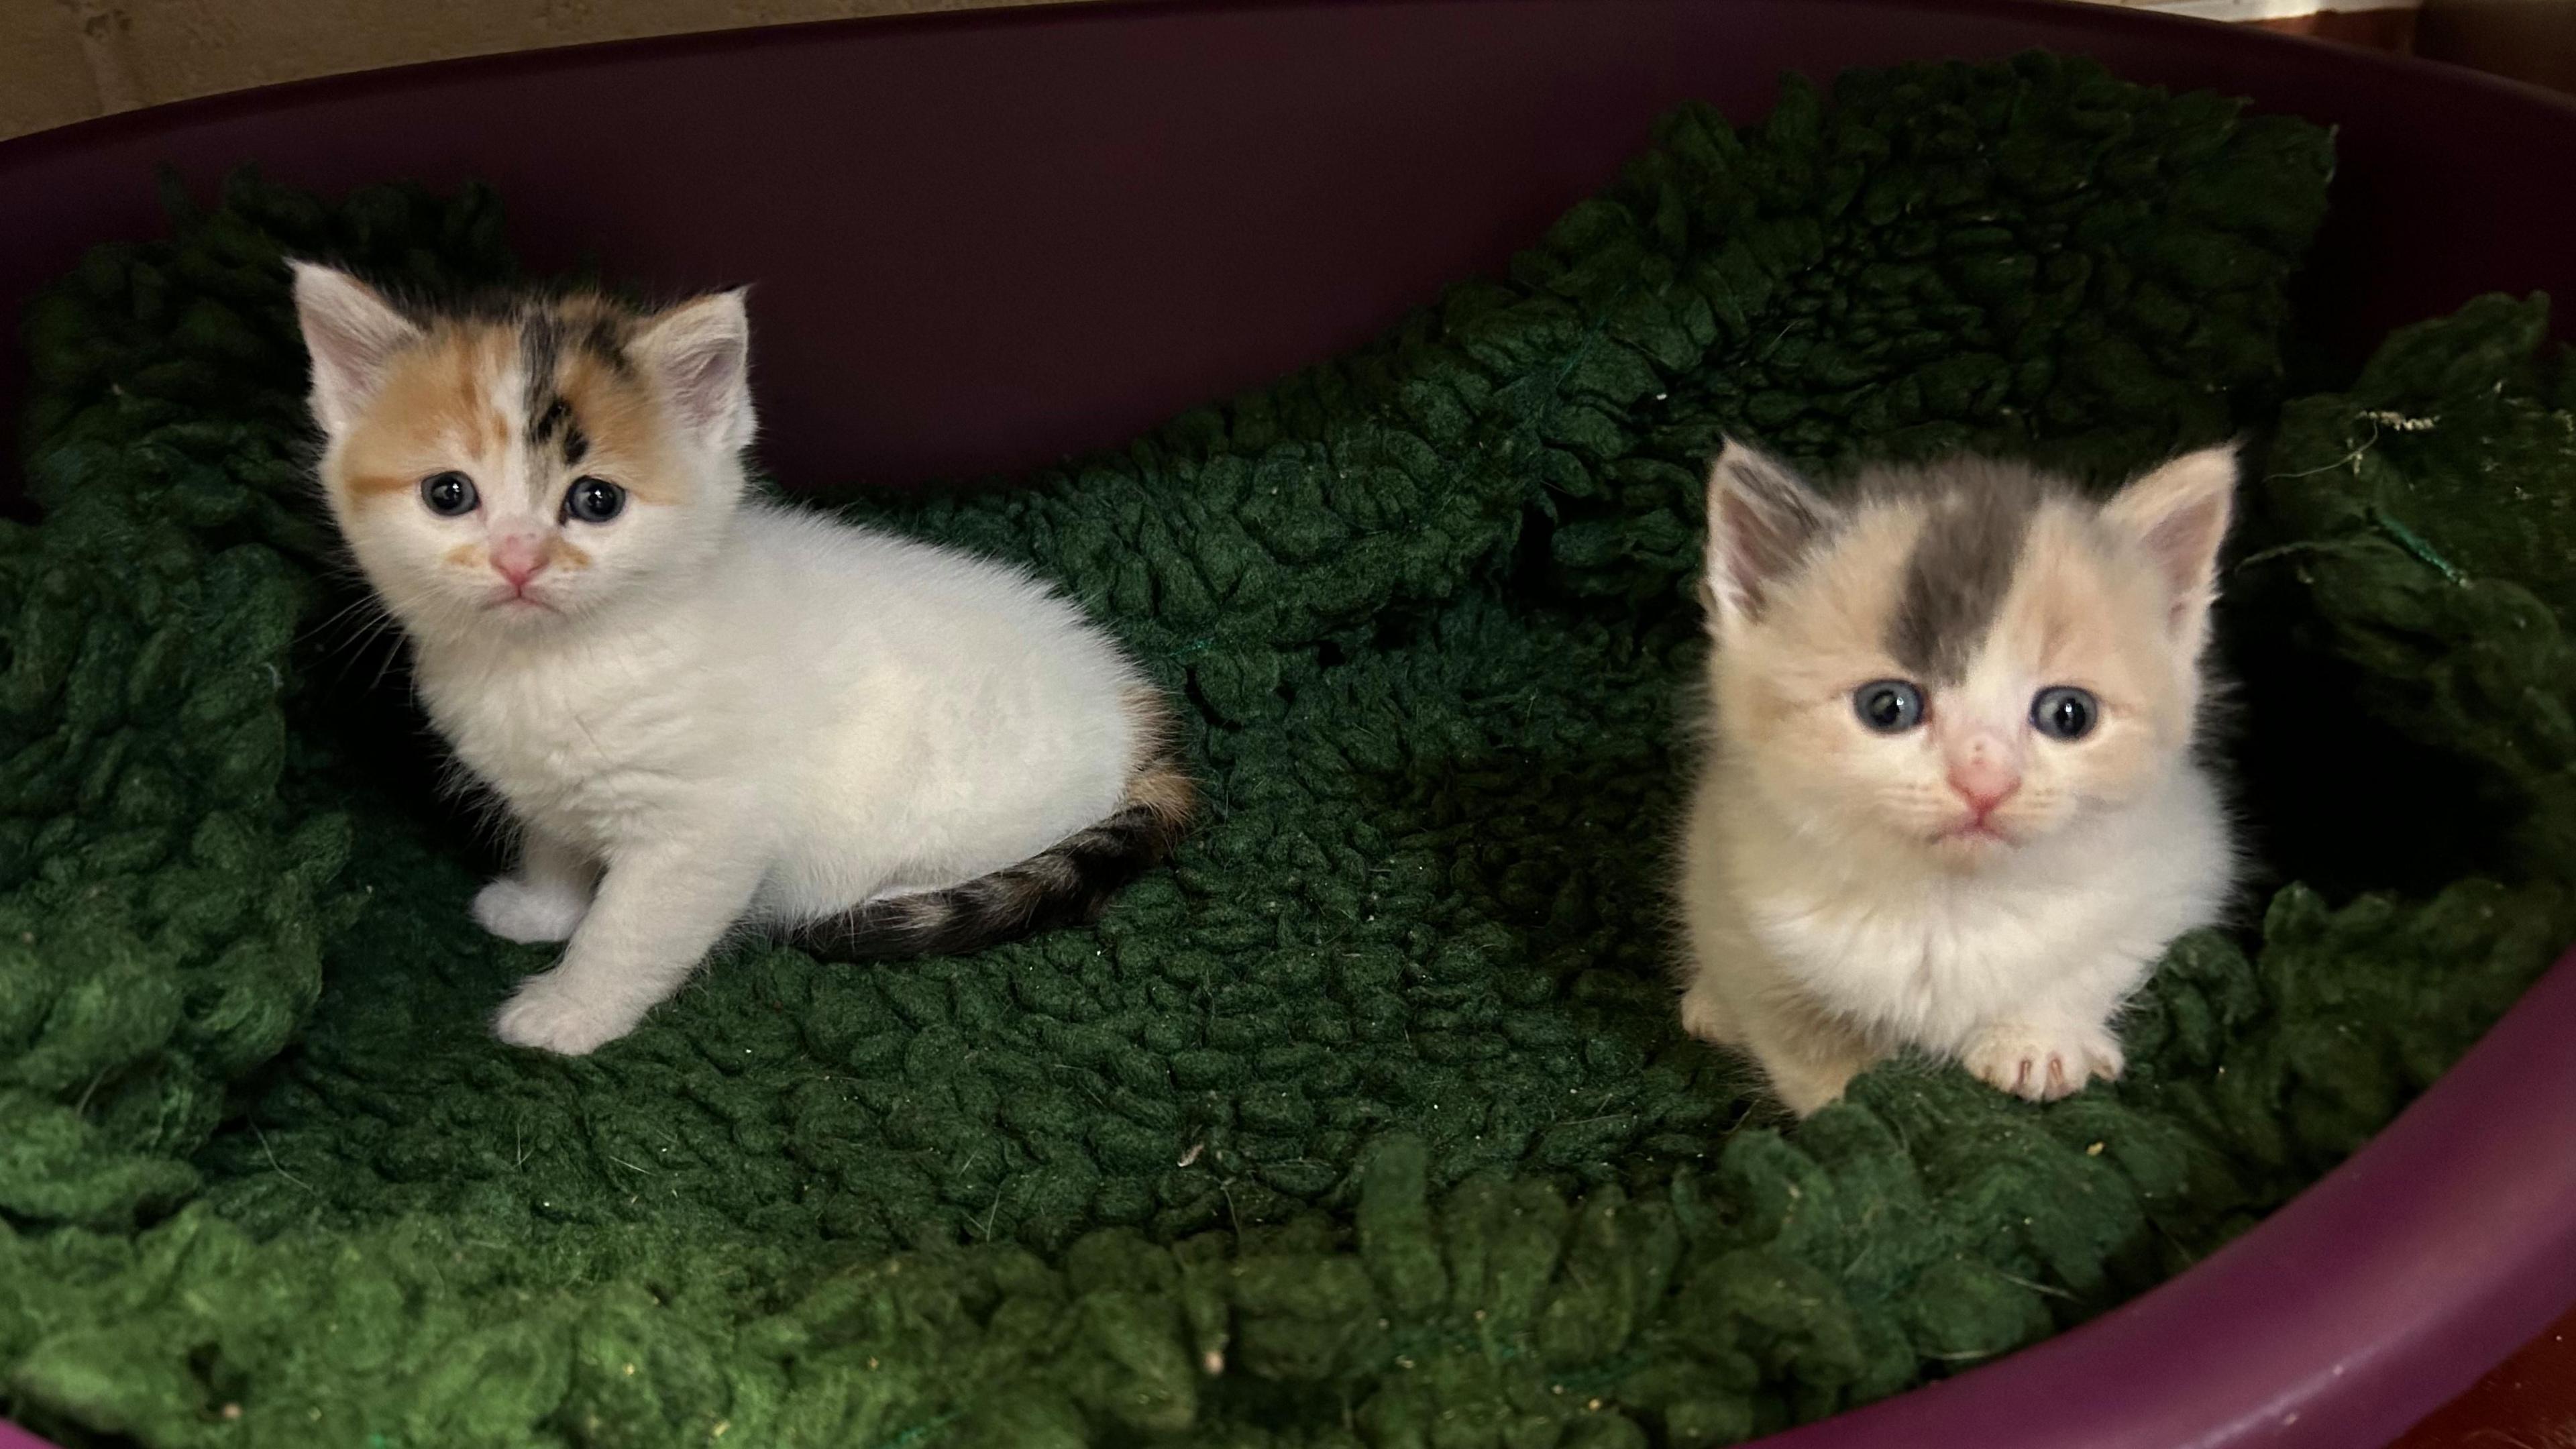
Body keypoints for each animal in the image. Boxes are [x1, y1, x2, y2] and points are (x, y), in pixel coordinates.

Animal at [292, 262, 1195, 1046]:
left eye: (596, 500)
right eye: (448, 494)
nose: (519, 559)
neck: (562, 661)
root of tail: (1134, 710)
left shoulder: (704, 834)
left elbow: (630, 929)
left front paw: (568, 1010)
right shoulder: (546, 786)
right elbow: (553, 840)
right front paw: (541, 906)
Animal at [1669, 433, 2236, 1108]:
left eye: (2069, 714)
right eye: (1887, 707)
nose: (1985, 783)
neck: (1951, 908)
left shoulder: (2181, 867)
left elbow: (2099, 955)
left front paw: (2037, 1040)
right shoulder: (1728, 886)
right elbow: (1799, 1032)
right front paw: (1849, 1098)